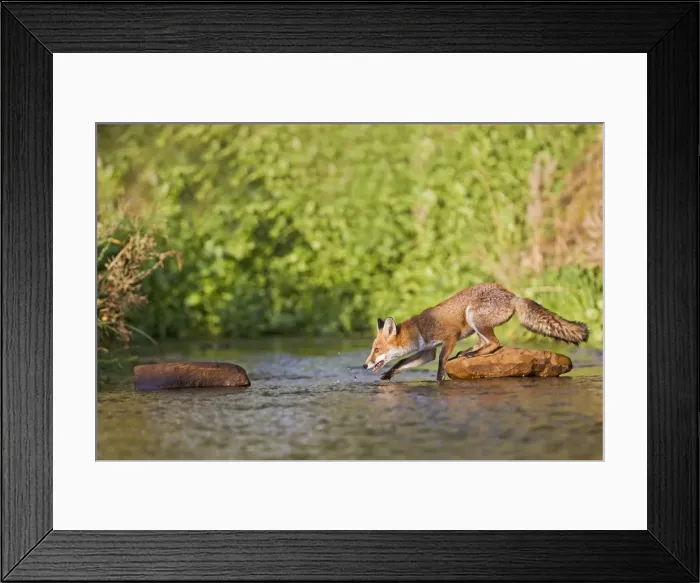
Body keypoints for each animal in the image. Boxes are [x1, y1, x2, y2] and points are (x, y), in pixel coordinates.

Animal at [363, 282, 589, 382]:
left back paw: (471, 354)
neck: (420, 329)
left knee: (495, 343)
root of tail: (512, 295)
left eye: (376, 349)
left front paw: (439, 381)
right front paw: (388, 375)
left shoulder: (450, 337)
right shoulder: (428, 351)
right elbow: (401, 362)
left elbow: (441, 364)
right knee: (486, 343)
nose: (364, 365)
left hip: (473, 315)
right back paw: (468, 352)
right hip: (475, 325)